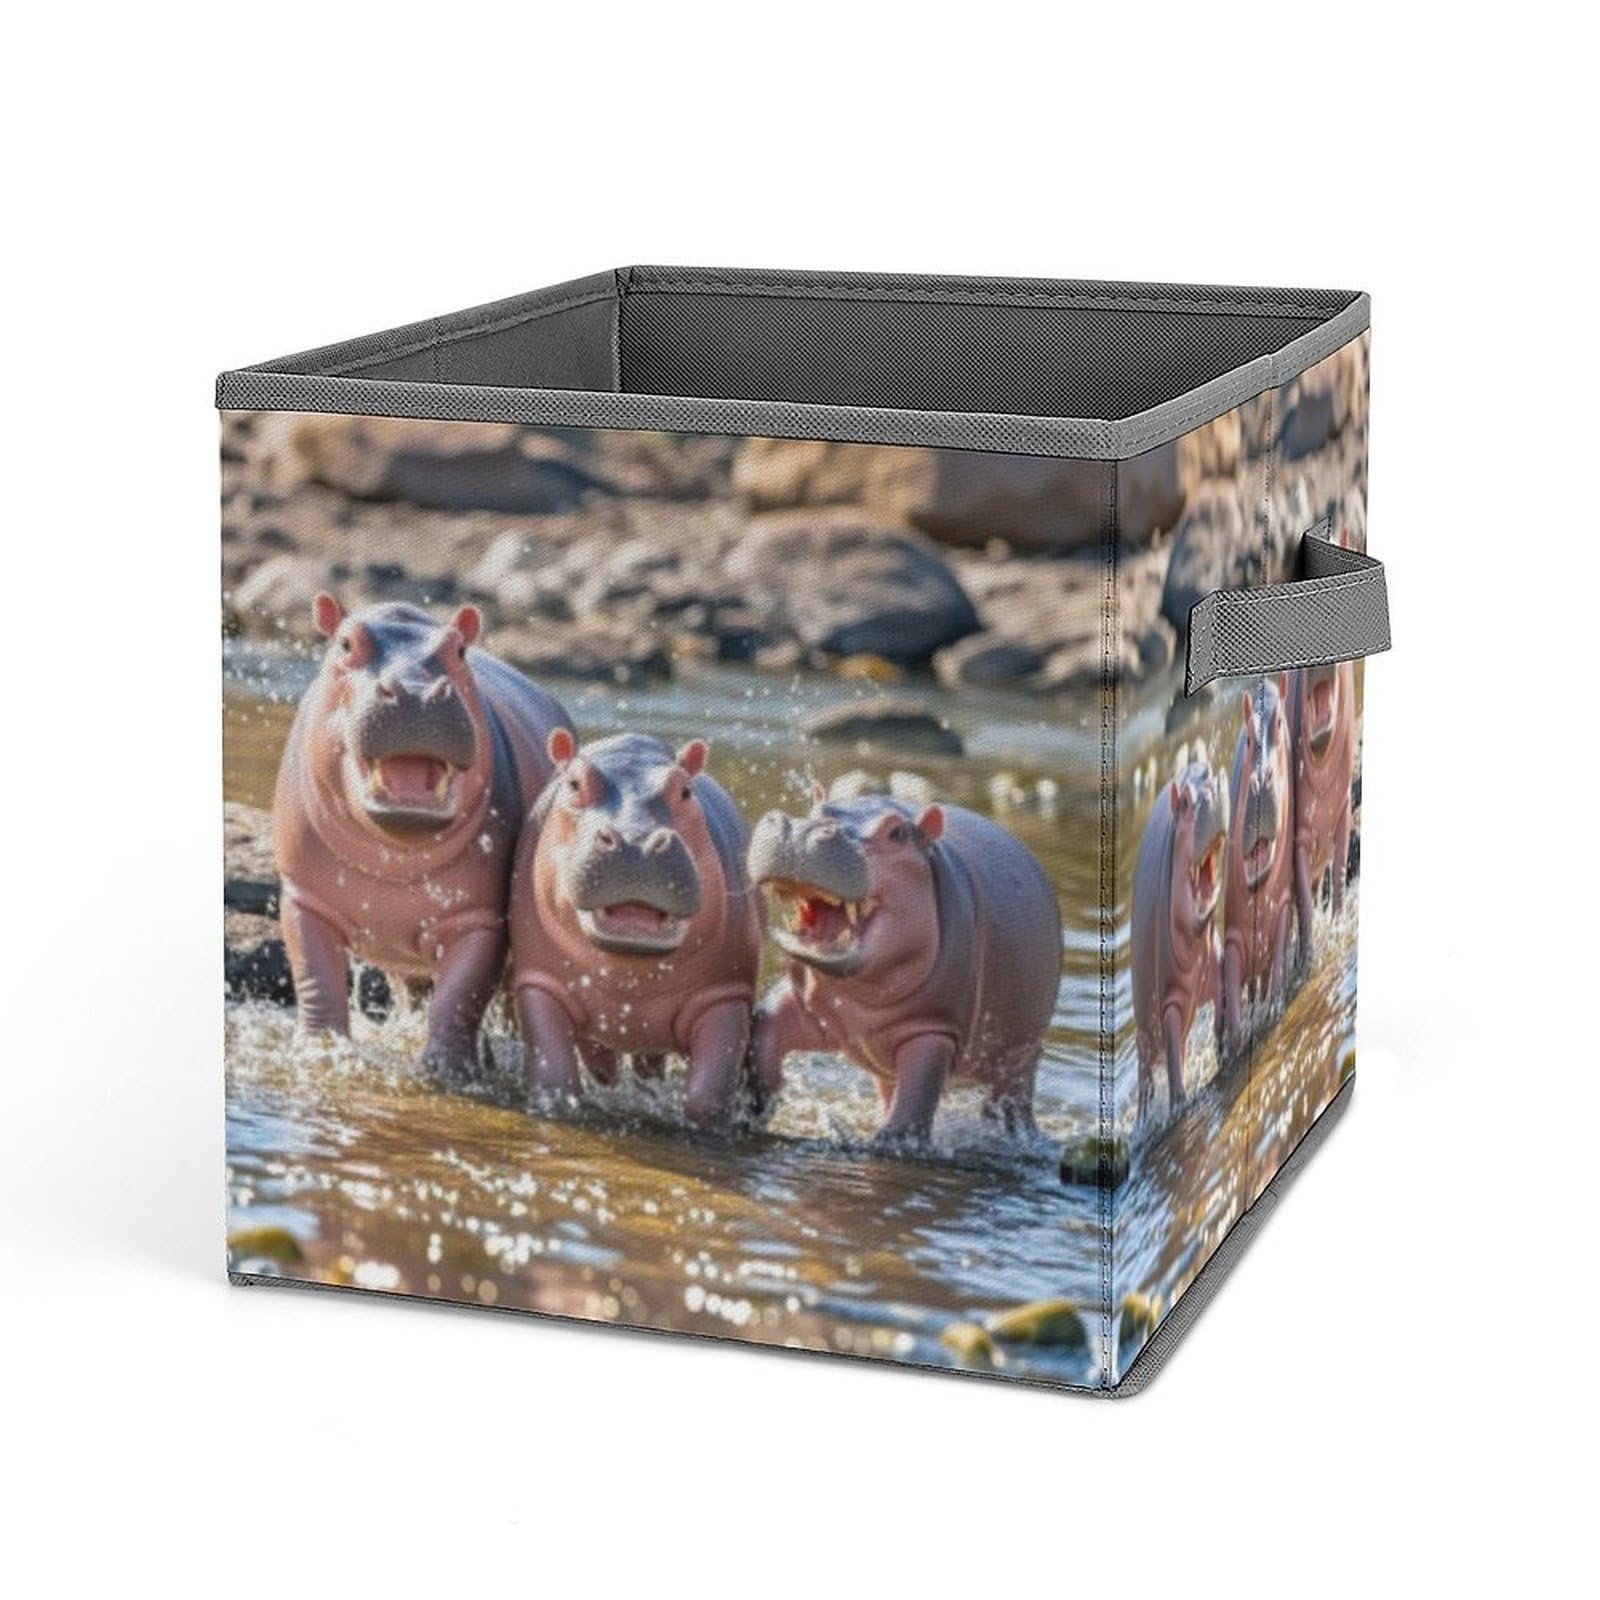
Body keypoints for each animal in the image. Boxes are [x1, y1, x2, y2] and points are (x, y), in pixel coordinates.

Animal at [273, 595, 573, 1078]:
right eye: (345, 643)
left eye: (460, 650)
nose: (415, 691)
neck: (396, 857)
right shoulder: (303, 897)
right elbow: (314, 975)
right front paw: (318, 1051)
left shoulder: (480, 918)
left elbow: (462, 993)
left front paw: (448, 1071)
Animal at [509, 732, 763, 1128]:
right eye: (574, 784)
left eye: (686, 790)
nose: (636, 842)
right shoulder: (539, 983)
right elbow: (555, 1078)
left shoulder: (725, 995)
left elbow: (707, 1094)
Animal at [746, 794, 1061, 1149]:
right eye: (816, 808)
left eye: (896, 833)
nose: (801, 829)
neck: (862, 995)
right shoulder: (807, 1005)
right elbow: (767, 1030)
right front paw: (757, 1104)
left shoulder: (933, 1030)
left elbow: (915, 1100)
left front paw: (891, 1144)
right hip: (888, 1068)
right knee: (890, 1090)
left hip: (1020, 1058)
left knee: (1011, 1103)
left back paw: (1018, 1137)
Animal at [1129, 751, 1229, 1121]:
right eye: (1184, 801)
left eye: (1215, 774)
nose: (1212, 783)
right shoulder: (1168, 1001)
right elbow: (1172, 1067)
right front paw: (1180, 1105)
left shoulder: (1215, 961)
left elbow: (1222, 1000)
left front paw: (1224, 1045)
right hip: (1147, 1030)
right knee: (1149, 1076)